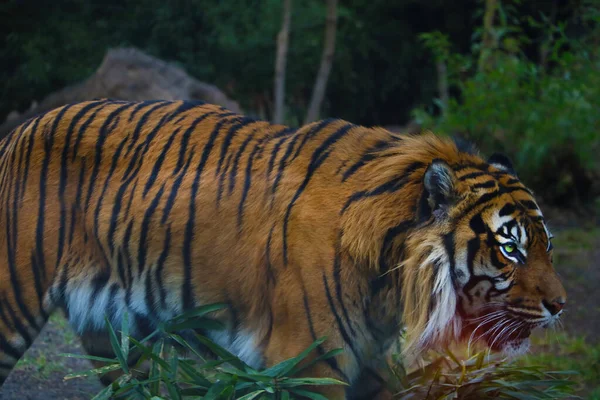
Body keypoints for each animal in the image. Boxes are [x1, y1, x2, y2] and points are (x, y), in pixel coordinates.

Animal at [0, 99, 564, 396]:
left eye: (546, 246)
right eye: (511, 249)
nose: (561, 307)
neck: (389, 277)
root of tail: (18, 129)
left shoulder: (373, 362)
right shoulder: (312, 363)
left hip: (118, 336)